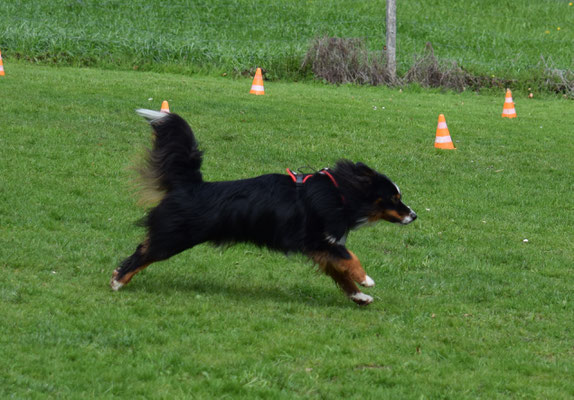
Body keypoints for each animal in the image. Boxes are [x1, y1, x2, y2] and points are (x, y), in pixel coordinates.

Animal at [111, 110, 418, 306]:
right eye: (393, 198)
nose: (414, 215)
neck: (339, 193)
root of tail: (191, 185)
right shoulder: (316, 240)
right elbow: (350, 258)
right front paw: (366, 280)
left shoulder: (323, 249)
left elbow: (342, 274)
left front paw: (359, 297)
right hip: (175, 235)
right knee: (145, 252)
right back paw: (118, 281)